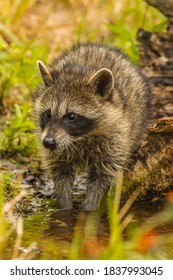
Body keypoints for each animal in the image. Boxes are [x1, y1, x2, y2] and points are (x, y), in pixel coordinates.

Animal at [34, 42, 151, 211]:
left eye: (71, 116)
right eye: (48, 114)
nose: (48, 142)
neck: (80, 138)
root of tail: (100, 46)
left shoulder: (115, 138)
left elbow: (101, 177)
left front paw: (89, 208)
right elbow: (61, 173)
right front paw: (64, 207)